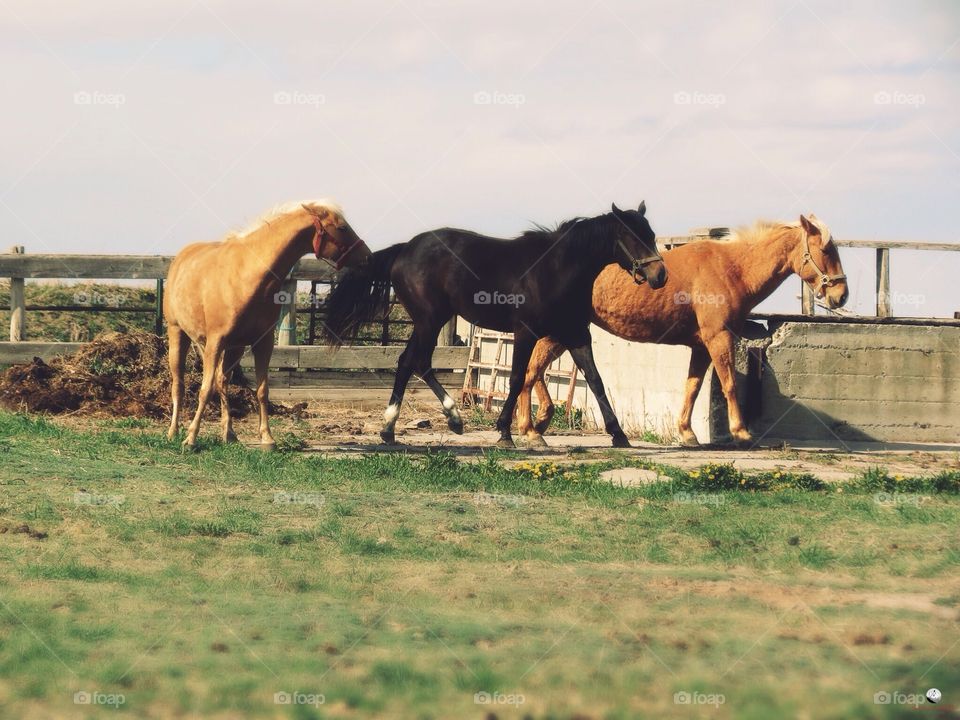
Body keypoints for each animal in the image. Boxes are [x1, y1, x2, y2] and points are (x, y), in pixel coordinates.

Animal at [165, 201, 372, 450]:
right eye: (342, 227)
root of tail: (181, 258)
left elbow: (262, 390)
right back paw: (173, 432)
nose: (368, 257)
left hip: (234, 347)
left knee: (222, 381)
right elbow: (205, 390)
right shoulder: (215, 342)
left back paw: (229, 433)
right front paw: (191, 438)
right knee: (179, 384)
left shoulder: (263, 343)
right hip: (178, 334)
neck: (247, 276)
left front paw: (267, 438)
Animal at [322, 202, 668, 448]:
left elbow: (596, 380)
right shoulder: (525, 332)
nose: (660, 276)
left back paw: (396, 428)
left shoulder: (575, 334)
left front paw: (619, 435)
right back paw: (446, 420)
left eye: (651, 236)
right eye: (632, 237)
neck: (556, 268)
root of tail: (404, 250)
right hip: (429, 320)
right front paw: (505, 432)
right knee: (416, 361)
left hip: (428, 322)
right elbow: (515, 379)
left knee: (410, 363)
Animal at [516, 212, 848, 444]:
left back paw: (537, 422)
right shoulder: (719, 338)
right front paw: (741, 431)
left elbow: (692, 387)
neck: (733, 270)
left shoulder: (701, 346)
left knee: (535, 371)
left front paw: (687, 433)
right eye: (826, 251)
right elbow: (729, 383)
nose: (841, 295)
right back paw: (530, 429)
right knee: (531, 371)